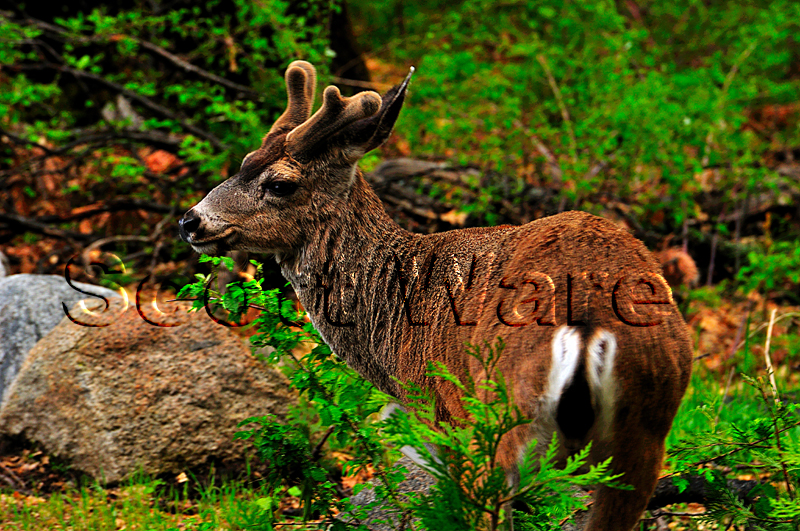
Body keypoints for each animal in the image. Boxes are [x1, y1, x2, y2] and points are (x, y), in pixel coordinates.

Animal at [179, 60, 693, 531]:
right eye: (245, 160)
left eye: (280, 184)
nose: (190, 221)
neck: (393, 314)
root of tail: (588, 317)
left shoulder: (443, 411)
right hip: (650, 421)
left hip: (499, 415)